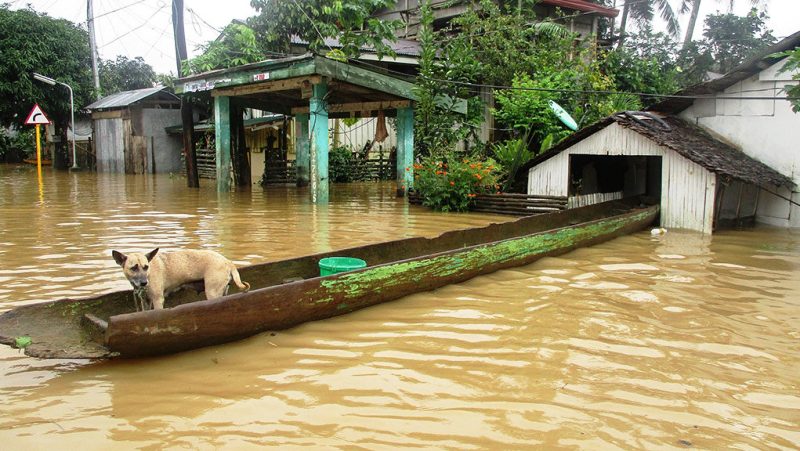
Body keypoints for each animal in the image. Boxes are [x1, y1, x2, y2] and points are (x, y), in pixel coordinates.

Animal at [111, 247, 250, 310]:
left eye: (146, 267)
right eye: (133, 268)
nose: (144, 282)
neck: (149, 273)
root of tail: (227, 261)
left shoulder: (157, 300)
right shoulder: (146, 301)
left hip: (212, 293)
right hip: (222, 292)